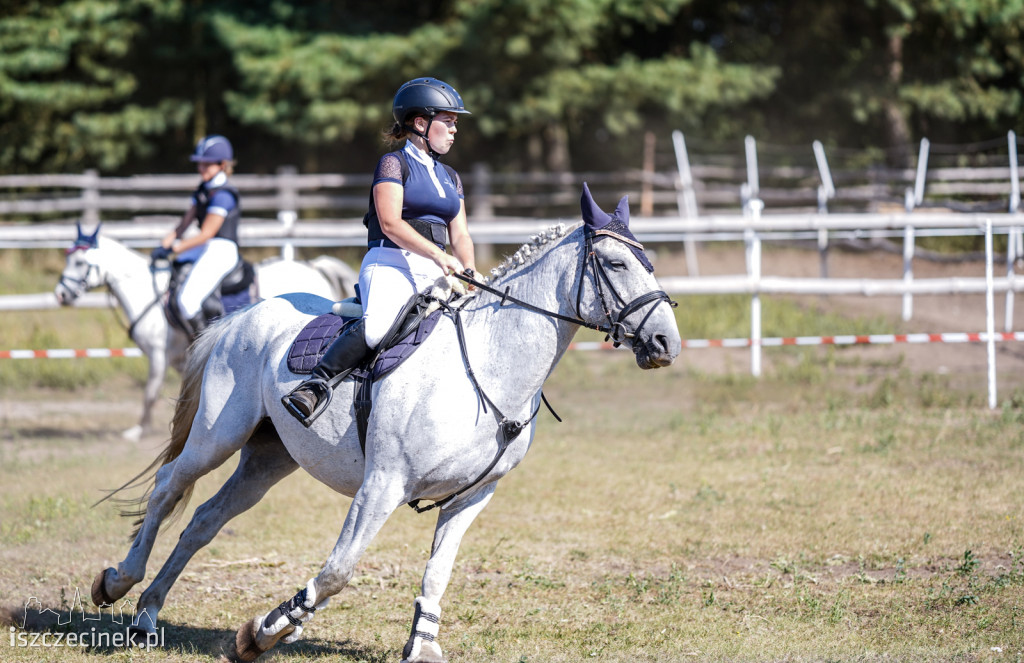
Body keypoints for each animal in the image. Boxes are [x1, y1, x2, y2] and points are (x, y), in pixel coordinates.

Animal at [57, 225, 360, 442]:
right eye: (68, 258)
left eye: (81, 262)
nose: (61, 294)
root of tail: (313, 265)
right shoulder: (180, 359)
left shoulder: (158, 354)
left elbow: (150, 392)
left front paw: (138, 431)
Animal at [88, 188, 679, 663]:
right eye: (615, 264)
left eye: (647, 262)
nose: (666, 344)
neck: (490, 365)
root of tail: (244, 314)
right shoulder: (383, 485)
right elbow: (337, 570)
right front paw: (266, 631)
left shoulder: (472, 496)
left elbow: (437, 572)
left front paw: (422, 646)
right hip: (218, 436)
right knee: (169, 487)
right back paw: (119, 585)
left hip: (268, 458)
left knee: (204, 520)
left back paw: (147, 612)